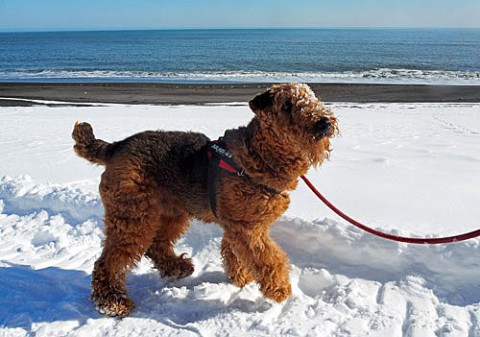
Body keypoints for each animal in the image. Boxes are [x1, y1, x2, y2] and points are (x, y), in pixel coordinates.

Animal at [72, 82, 338, 316]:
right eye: (286, 105)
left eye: (311, 97)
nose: (324, 122)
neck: (259, 156)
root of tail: (116, 146)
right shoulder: (248, 228)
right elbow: (268, 258)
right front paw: (279, 289)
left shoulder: (236, 226)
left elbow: (234, 253)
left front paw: (240, 277)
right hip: (132, 216)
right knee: (108, 262)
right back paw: (113, 302)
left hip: (170, 212)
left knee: (156, 245)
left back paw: (178, 267)